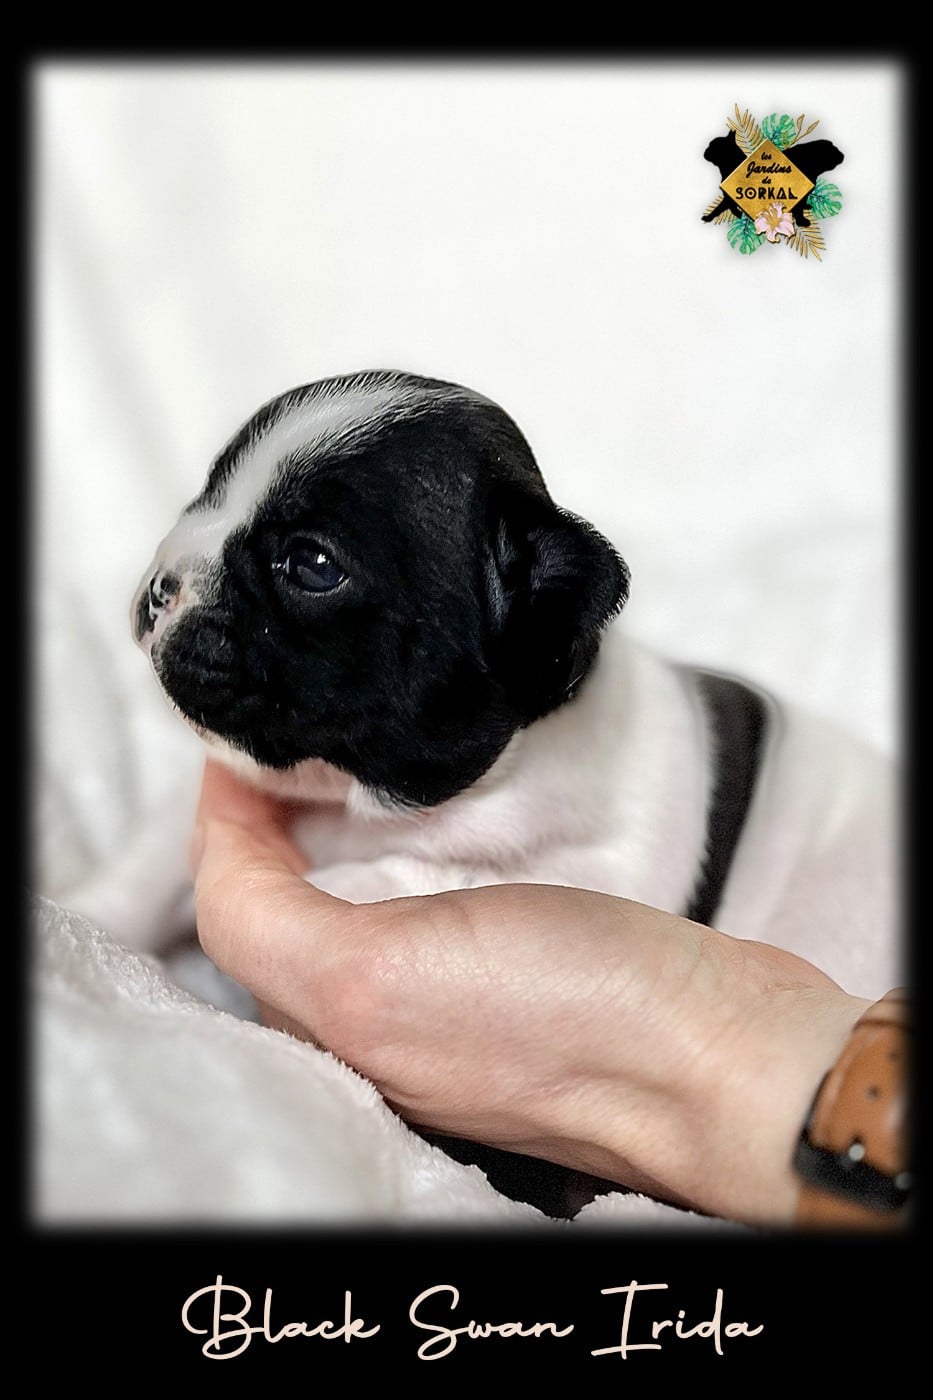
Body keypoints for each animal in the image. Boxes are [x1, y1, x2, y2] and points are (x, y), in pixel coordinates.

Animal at [131, 369, 897, 1215]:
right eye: (204, 495)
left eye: (311, 564)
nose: (158, 587)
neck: (354, 800)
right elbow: (144, 873)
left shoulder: (593, 867)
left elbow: (424, 873)